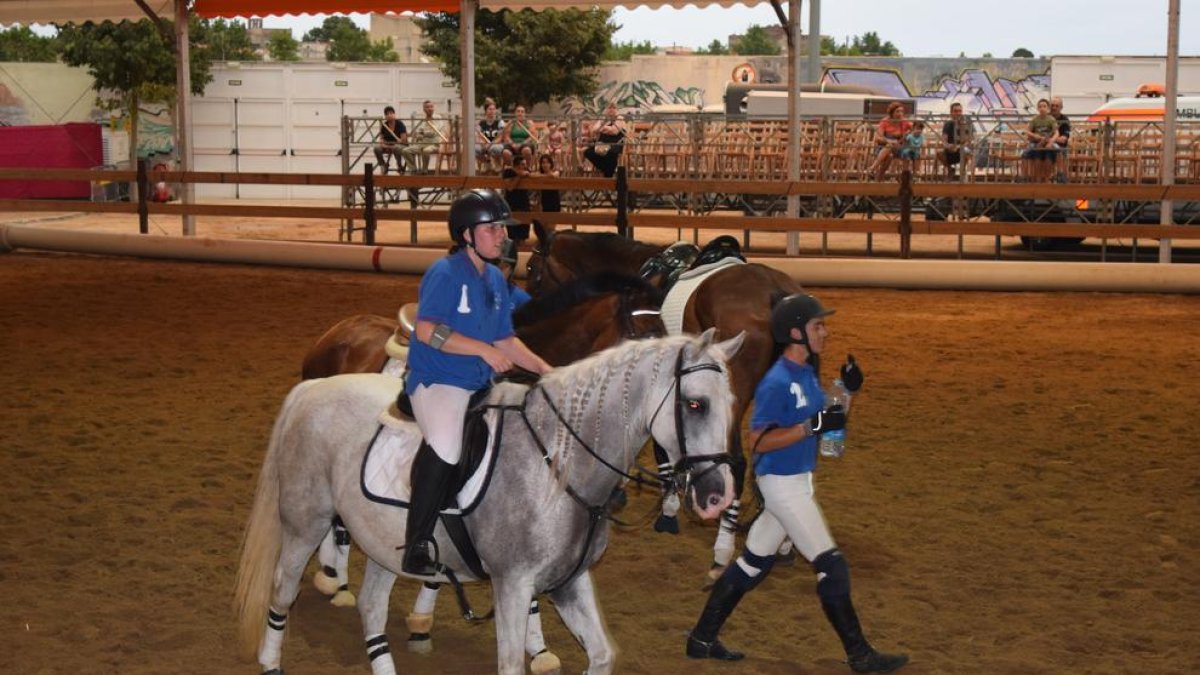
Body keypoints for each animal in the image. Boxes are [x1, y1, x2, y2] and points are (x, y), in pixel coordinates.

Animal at [234, 331, 739, 672]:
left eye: (732, 403)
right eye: (695, 404)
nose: (718, 495)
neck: (558, 465)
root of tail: (313, 388)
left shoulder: (568, 582)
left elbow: (601, 655)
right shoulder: (513, 584)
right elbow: (511, 664)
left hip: (383, 545)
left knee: (371, 607)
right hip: (306, 523)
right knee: (283, 589)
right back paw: (270, 659)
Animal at [528, 223, 801, 576]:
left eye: (531, 269)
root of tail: (775, 294)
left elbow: (660, 447)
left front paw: (667, 509)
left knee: (737, 461)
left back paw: (722, 550)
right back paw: (785, 543)